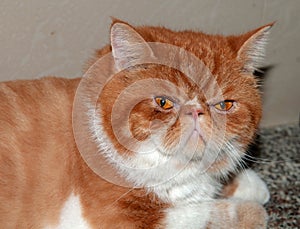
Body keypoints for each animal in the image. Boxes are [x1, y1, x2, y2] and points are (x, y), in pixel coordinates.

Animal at [0, 18, 272, 228]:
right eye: (163, 102)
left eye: (224, 105)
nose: (196, 111)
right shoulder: (116, 218)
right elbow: (200, 213)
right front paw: (250, 210)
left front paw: (248, 184)